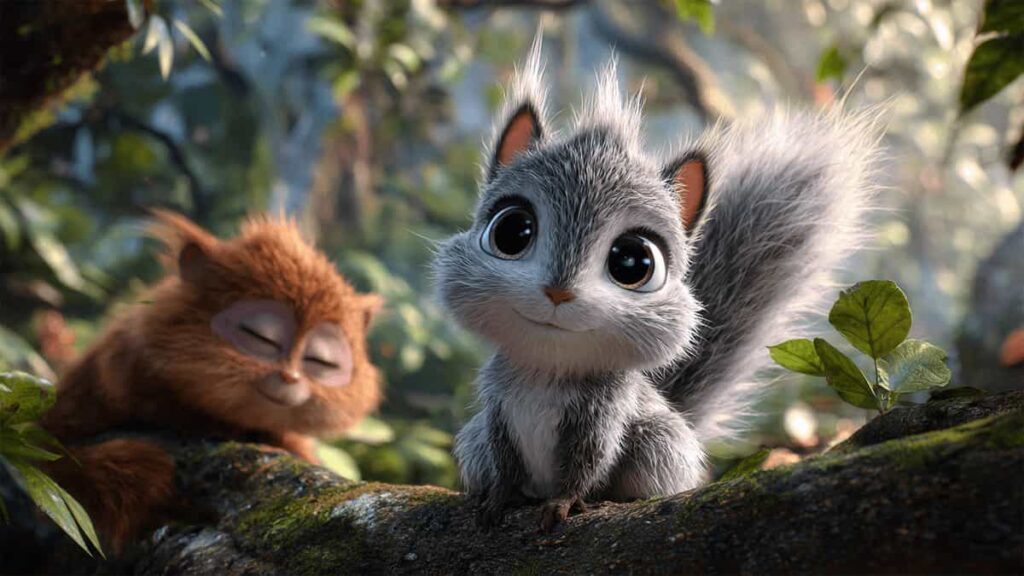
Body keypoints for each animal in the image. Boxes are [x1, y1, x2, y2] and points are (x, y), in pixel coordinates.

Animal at [433, 40, 880, 530]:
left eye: (634, 262)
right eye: (511, 232)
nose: (558, 292)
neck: (548, 368)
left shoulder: (603, 414)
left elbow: (586, 462)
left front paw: (565, 501)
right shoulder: (496, 406)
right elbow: (506, 458)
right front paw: (500, 497)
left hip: (657, 442)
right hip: (474, 441)